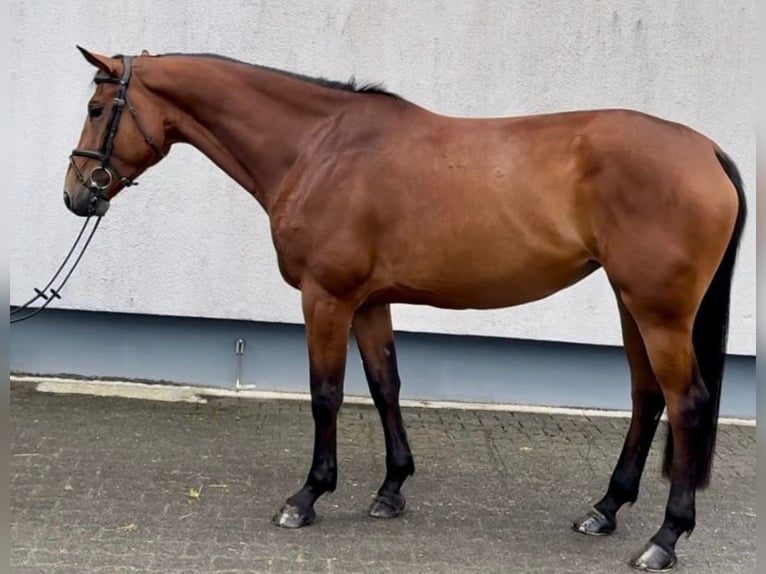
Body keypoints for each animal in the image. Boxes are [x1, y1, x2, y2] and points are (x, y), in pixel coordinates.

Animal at [66, 48, 752, 572]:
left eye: (98, 110)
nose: (76, 194)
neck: (319, 147)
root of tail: (706, 151)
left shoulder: (327, 296)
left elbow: (326, 393)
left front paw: (308, 496)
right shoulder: (370, 302)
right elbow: (385, 385)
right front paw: (391, 489)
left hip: (659, 311)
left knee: (688, 402)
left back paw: (664, 538)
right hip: (630, 303)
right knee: (647, 396)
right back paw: (604, 510)